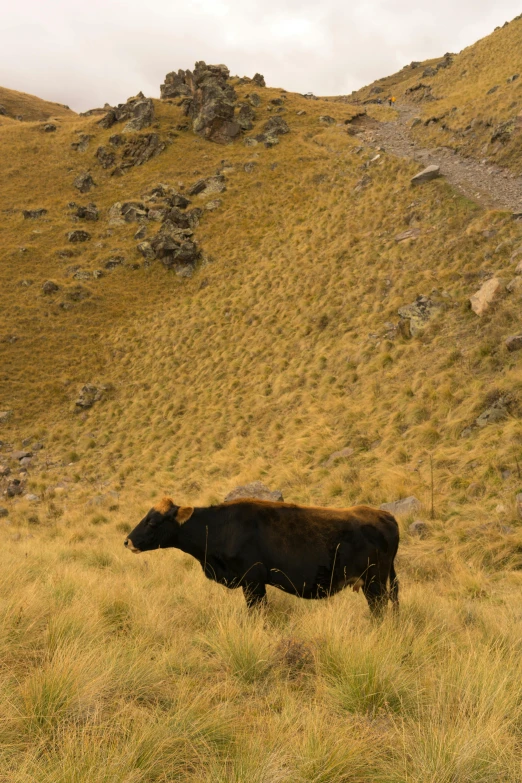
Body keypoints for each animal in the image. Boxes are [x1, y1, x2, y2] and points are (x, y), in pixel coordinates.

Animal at [125, 496, 398, 620]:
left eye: (153, 521)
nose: (127, 541)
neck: (218, 527)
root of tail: (384, 515)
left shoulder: (253, 581)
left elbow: (257, 611)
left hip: (374, 582)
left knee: (379, 609)